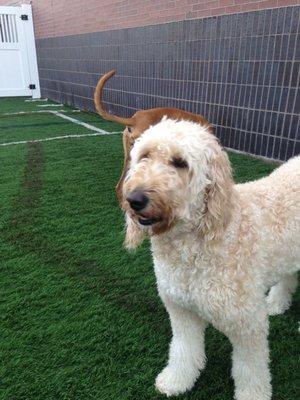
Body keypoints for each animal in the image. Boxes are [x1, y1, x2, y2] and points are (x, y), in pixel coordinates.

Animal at [120, 119, 298, 400]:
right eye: (144, 156)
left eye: (180, 162)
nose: (135, 199)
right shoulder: (181, 310)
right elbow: (183, 350)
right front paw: (176, 381)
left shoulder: (247, 323)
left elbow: (250, 369)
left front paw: (252, 395)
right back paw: (277, 303)